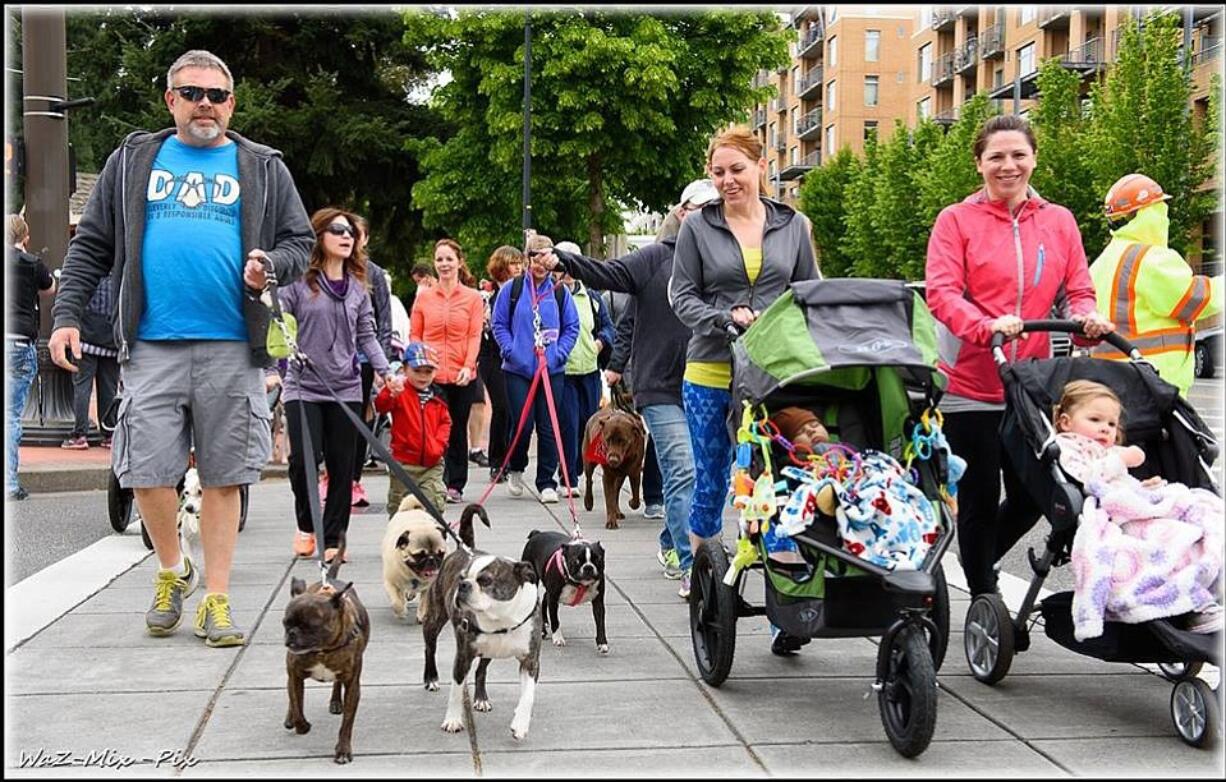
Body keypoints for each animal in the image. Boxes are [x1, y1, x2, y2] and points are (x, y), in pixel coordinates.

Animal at [281, 539, 367, 764]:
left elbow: (346, 724)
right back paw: (289, 718)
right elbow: (297, 705)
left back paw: (335, 701)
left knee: (336, 685)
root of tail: (331, 579)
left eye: (311, 625)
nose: (292, 633)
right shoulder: (295, 675)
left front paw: (343, 750)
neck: (322, 650)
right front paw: (301, 724)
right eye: (285, 623)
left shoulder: (353, 685)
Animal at [380, 495, 448, 625]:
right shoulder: (390, 583)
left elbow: (424, 603)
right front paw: (401, 612)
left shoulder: (428, 587)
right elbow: (396, 602)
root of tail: (413, 509)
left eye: (440, 554)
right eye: (419, 555)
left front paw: (422, 615)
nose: (431, 558)